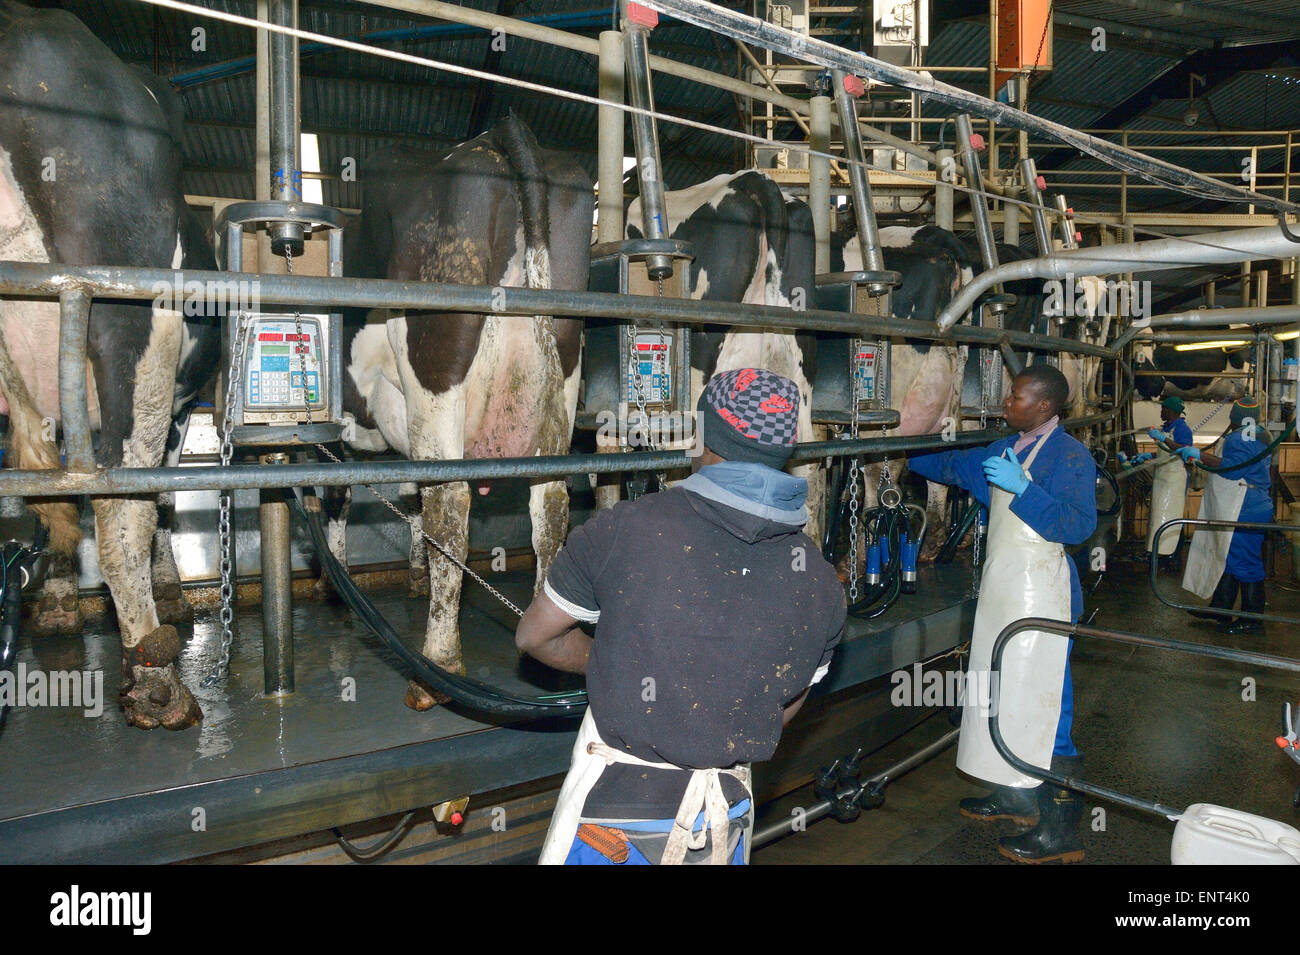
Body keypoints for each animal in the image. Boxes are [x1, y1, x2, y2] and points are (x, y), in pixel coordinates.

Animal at [0, 1, 219, 732]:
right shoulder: (177, 405)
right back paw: (155, 677)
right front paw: (171, 594)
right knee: (123, 503)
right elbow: (160, 500)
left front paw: (59, 600)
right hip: (131, 317)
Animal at [322, 113, 592, 712]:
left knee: (450, 510)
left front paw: (336, 587)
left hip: (435, 366)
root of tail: (500, 136)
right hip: (559, 382)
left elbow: (340, 498)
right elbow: (409, 501)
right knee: (550, 510)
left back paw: (436, 665)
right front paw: (412, 576)